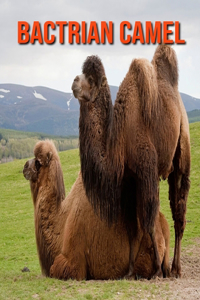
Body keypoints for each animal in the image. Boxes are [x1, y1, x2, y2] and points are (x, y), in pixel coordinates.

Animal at [72, 45, 191, 278]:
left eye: (90, 79)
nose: (73, 81)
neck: (120, 142)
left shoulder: (147, 172)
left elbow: (149, 222)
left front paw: (157, 269)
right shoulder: (128, 181)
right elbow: (132, 228)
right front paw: (129, 271)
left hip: (183, 149)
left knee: (179, 211)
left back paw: (175, 268)